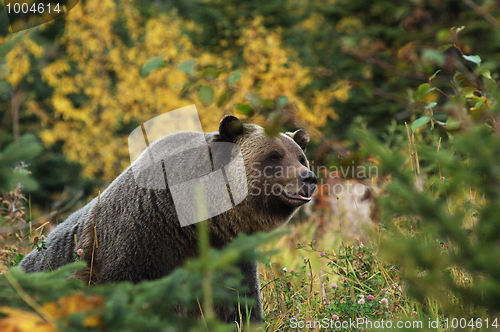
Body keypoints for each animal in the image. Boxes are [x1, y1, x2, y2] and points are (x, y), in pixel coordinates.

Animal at [20, 113, 316, 322]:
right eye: (274, 155)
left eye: (300, 157)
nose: (309, 178)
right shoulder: (139, 245)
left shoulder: (228, 254)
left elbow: (238, 306)